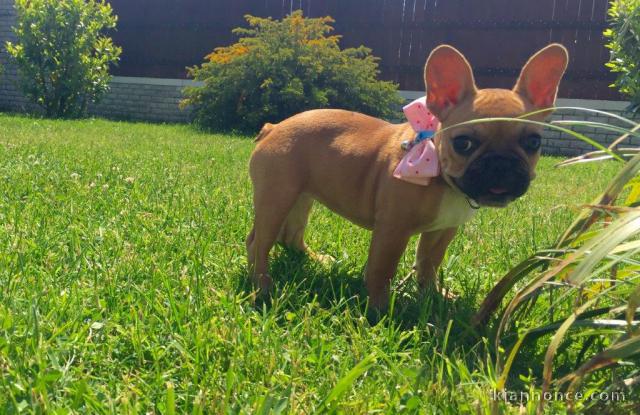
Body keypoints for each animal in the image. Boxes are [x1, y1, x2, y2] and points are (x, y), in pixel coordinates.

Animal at [246, 44, 568, 312]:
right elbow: (382, 269)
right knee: (258, 242)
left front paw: (432, 296)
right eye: (463, 143)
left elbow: (428, 264)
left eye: (533, 142)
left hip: (302, 196)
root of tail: (274, 127)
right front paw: (379, 309)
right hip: (277, 196)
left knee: (291, 235)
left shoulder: (443, 230)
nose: (501, 164)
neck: (441, 175)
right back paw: (262, 285)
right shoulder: (393, 230)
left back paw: (314, 259)